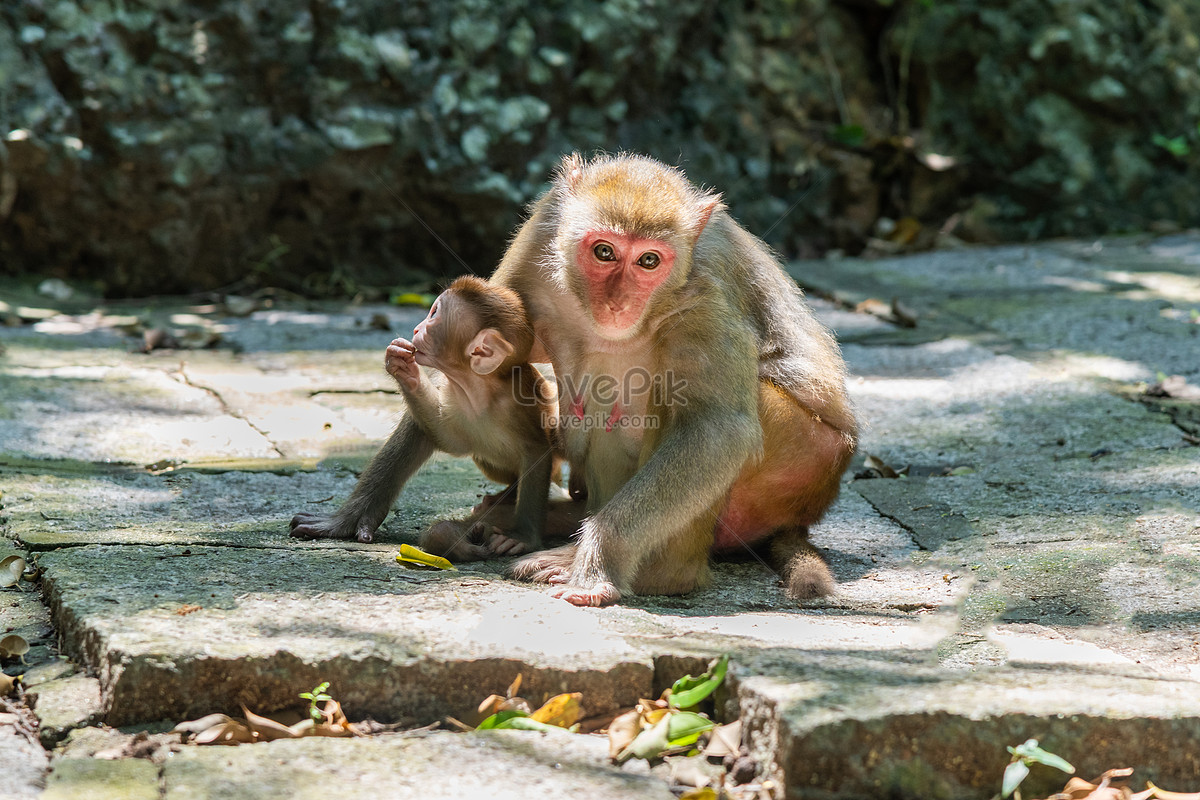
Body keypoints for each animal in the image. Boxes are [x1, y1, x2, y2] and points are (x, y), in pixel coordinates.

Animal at [386, 273, 559, 556]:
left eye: (434, 314)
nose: (416, 329)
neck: (480, 389)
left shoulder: (518, 407)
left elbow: (537, 451)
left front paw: (522, 537)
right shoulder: (455, 397)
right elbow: (447, 436)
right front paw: (403, 367)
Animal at [492, 154, 859, 606]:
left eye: (649, 261)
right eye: (604, 251)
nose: (618, 303)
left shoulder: (704, 291)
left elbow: (716, 431)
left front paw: (598, 556)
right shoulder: (543, 225)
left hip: (805, 459)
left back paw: (661, 574)